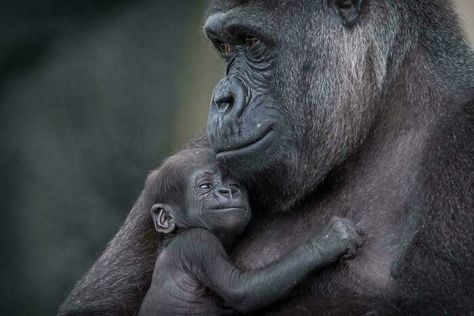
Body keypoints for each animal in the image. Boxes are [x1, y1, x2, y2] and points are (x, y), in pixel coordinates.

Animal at [139, 149, 364, 316]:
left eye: (233, 184)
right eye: (205, 186)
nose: (228, 191)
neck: (177, 233)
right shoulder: (198, 243)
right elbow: (240, 289)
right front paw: (328, 242)